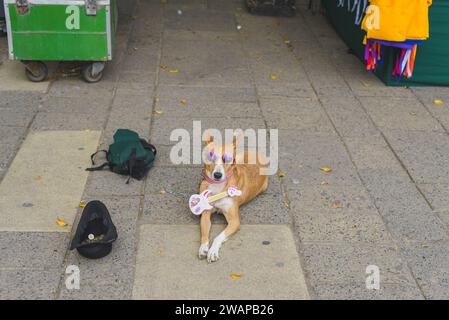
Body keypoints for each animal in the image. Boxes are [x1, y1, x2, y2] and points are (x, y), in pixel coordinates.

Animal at [198, 131, 268, 262]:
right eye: (211, 156)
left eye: (227, 159)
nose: (217, 175)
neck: (218, 186)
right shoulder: (205, 214)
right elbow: (204, 232)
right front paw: (203, 247)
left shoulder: (235, 221)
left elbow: (218, 237)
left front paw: (213, 251)